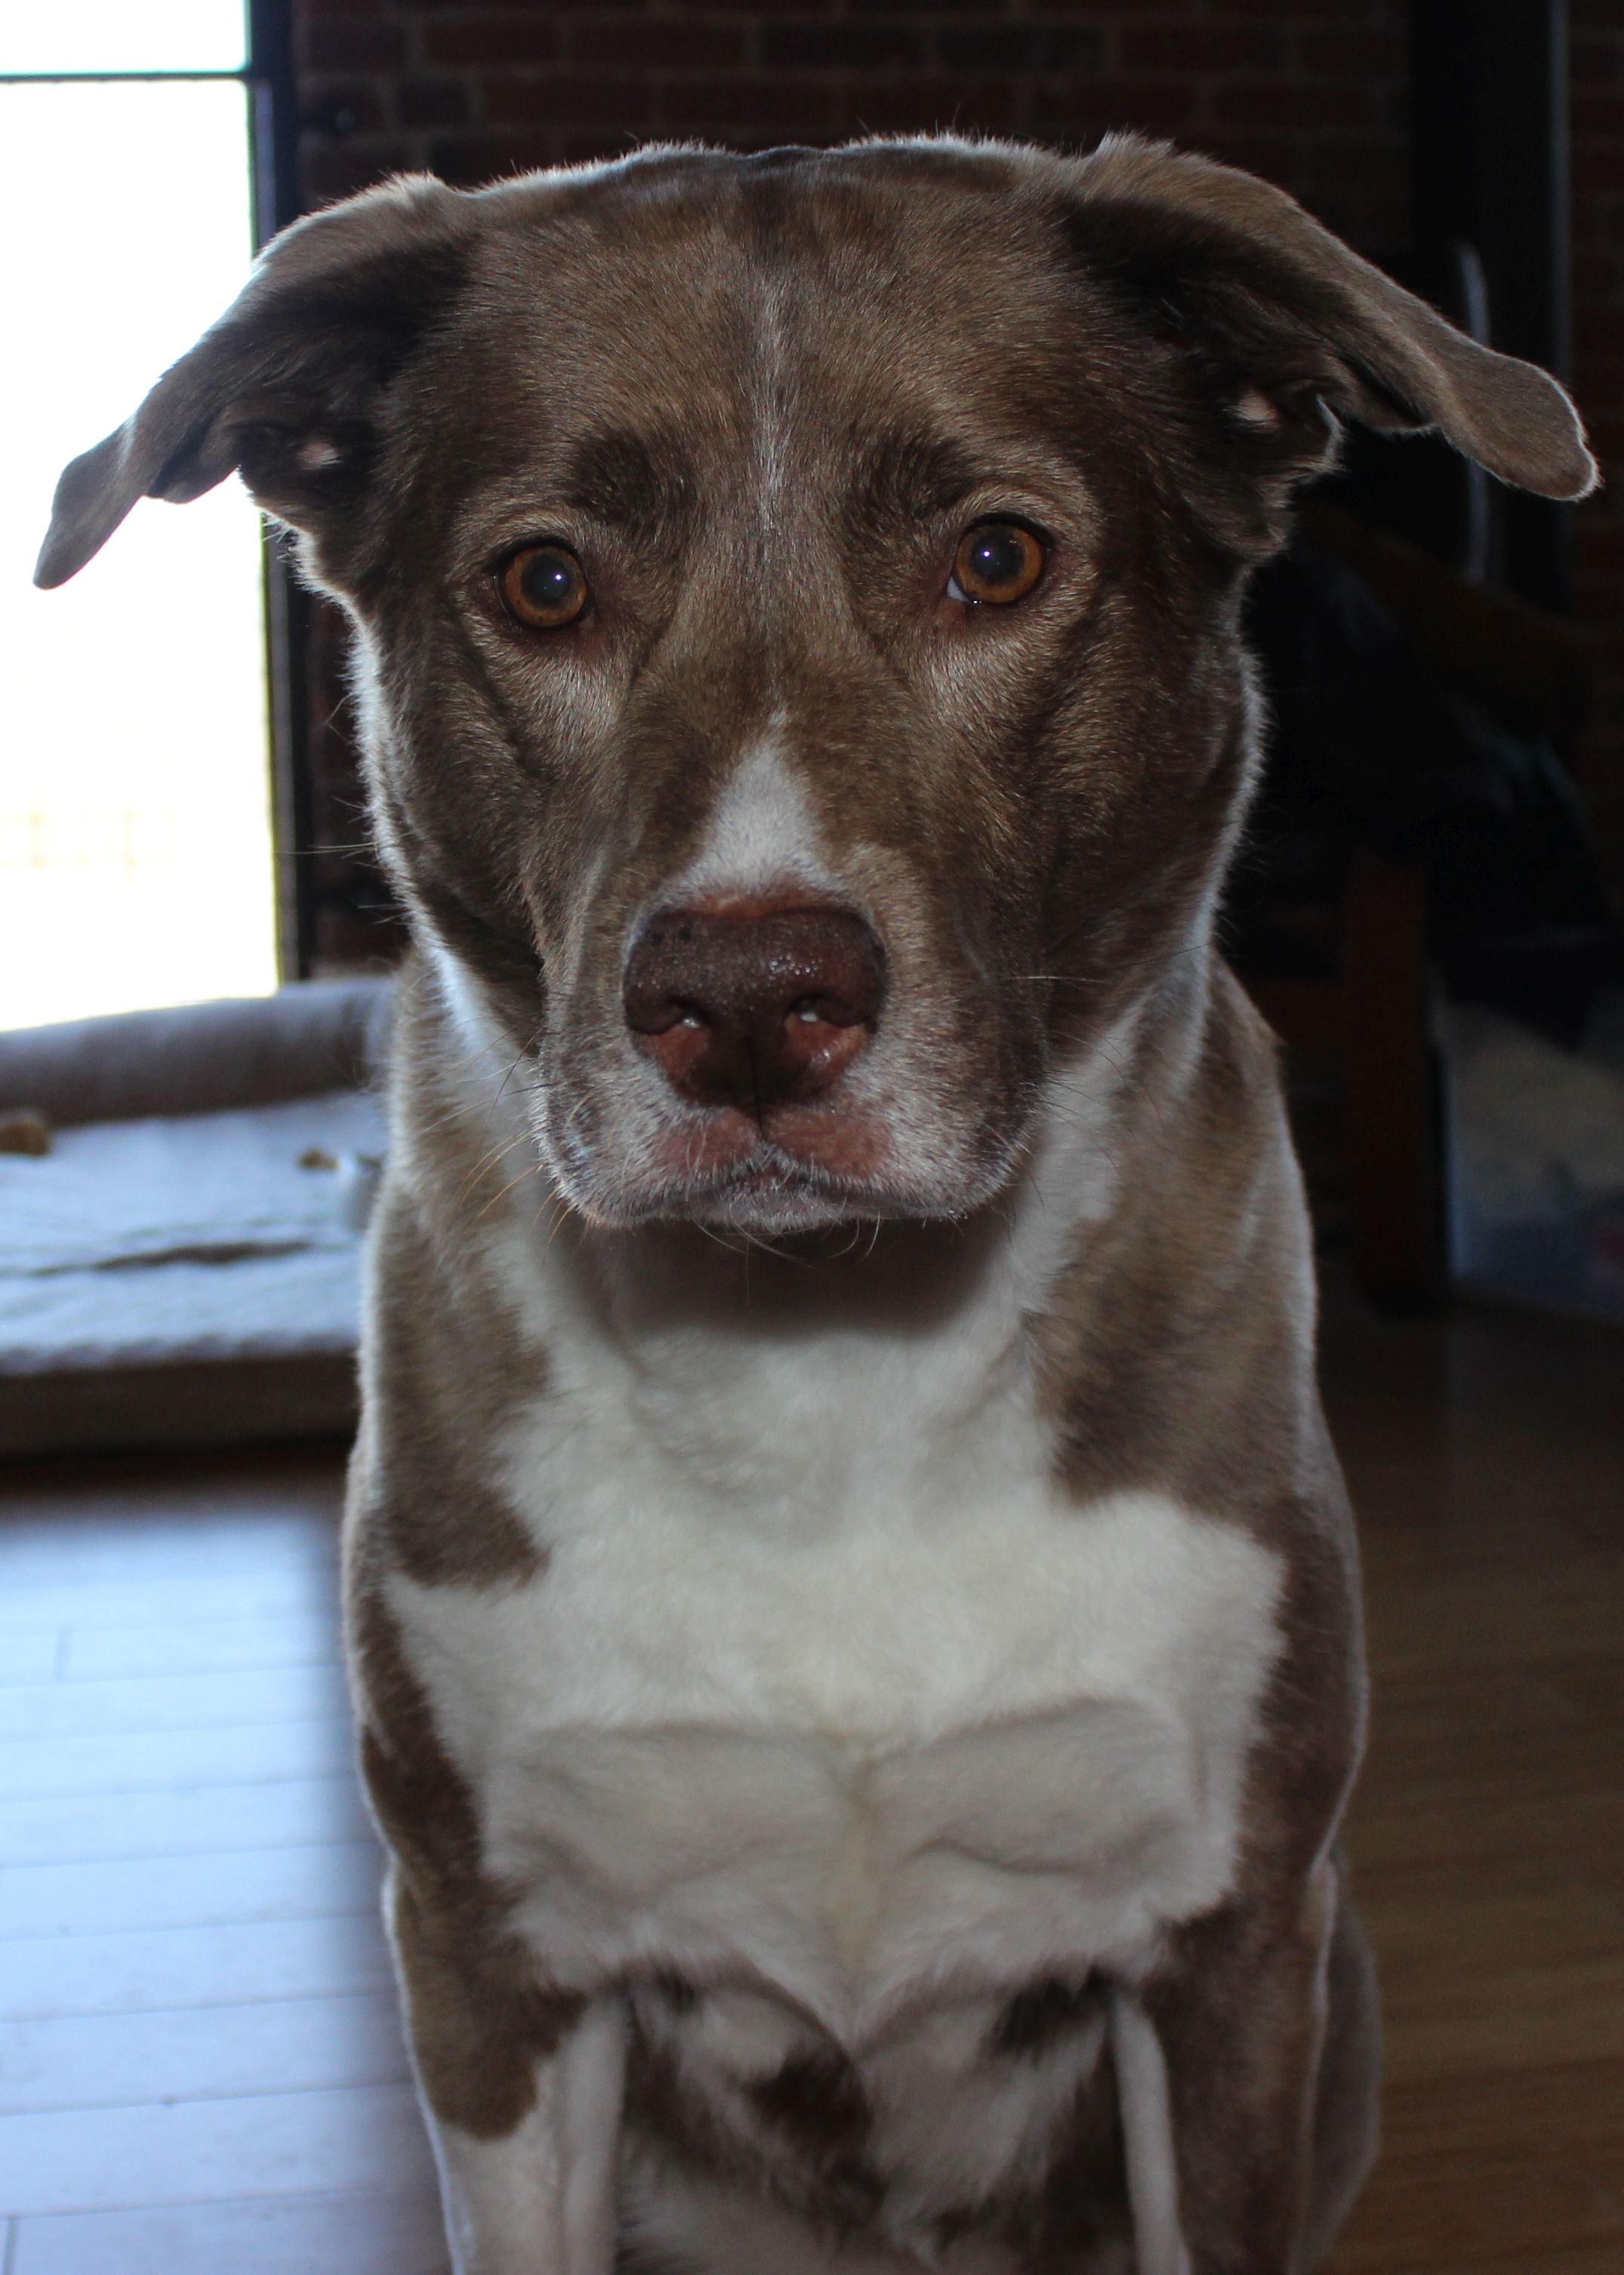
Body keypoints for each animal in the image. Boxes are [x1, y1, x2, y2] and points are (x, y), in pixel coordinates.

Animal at [40, 134, 1594, 2275]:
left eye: (996, 561)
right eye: (543, 584)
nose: (750, 1006)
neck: (826, 1362)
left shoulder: (1231, 1949)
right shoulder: (489, 1960)